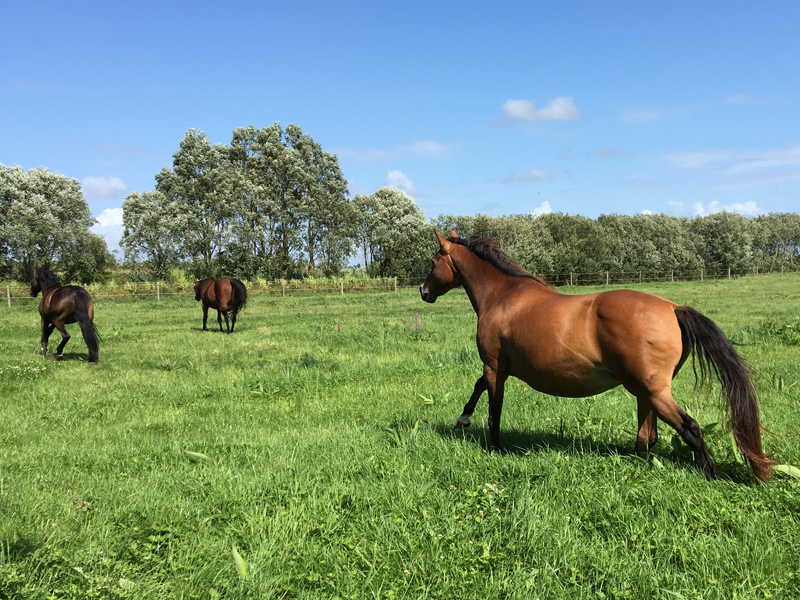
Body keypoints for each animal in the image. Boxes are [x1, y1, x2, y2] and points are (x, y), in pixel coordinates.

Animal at [419, 231, 775, 481]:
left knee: (689, 428)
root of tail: (674, 309)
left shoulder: (495, 366)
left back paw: (710, 475)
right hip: (645, 392)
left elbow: (493, 407)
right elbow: (479, 387)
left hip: (653, 392)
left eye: (433, 261)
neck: (504, 296)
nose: (423, 292)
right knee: (648, 436)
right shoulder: (499, 367)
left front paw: (491, 445)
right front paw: (463, 418)